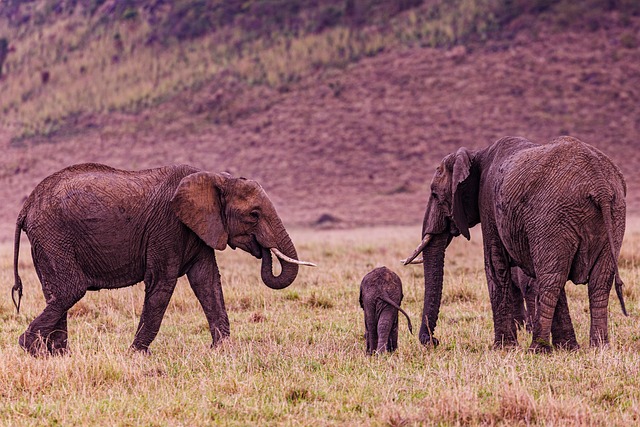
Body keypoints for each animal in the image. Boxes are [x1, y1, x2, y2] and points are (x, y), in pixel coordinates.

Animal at [11, 162, 316, 356]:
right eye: (254, 214)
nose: (264, 250)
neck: (216, 178)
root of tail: (26, 206)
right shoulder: (168, 227)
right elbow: (162, 283)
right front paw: (136, 355)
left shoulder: (198, 228)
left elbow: (207, 282)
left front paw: (222, 351)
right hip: (53, 234)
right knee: (69, 290)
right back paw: (32, 348)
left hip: (48, 239)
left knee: (56, 292)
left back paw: (58, 355)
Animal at [402, 137, 628, 354]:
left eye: (434, 194)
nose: (434, 341)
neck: (477, 154)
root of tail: (599, 185)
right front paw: (568, 348)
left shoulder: (488, 203)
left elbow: (495, 264)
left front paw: (503, 348)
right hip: (614, 213)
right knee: (598, 282)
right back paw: (600, 348)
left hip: (553, 216)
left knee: (552, 280)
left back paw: (537, 350)